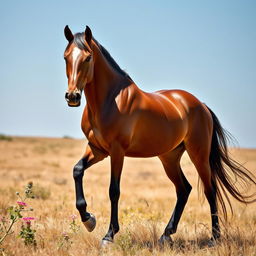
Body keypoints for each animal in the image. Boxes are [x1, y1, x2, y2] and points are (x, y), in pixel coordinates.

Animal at [62, 25, 256, 246]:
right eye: (66, 57)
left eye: (88, 57)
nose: (72, 96)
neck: (110, 101)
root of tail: (201, 105)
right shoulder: (97, 149)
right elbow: (77, 170)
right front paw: (89, 220)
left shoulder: (117, 151)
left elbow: (114, 190)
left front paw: (109, 235)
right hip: (169, 157)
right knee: (183, 189)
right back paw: (166, 234)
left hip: (198, 155)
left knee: (210, 190)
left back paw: (214, 237)